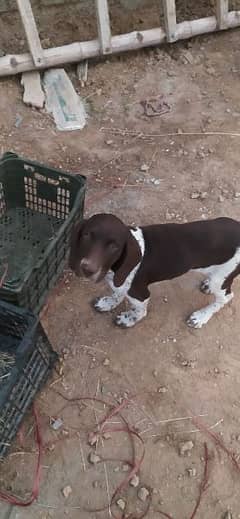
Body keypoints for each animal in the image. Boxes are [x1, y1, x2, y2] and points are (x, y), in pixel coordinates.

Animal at [69, 215, 240, 330]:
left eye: (114, 247)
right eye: (86, 235)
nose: (87, 269)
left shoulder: (140, 293)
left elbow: (139, 311)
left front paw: (128, 319)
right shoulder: (119, 283)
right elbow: (117, 292)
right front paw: (109, 302)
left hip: (220, 279)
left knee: (226, 297)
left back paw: (201, 316)